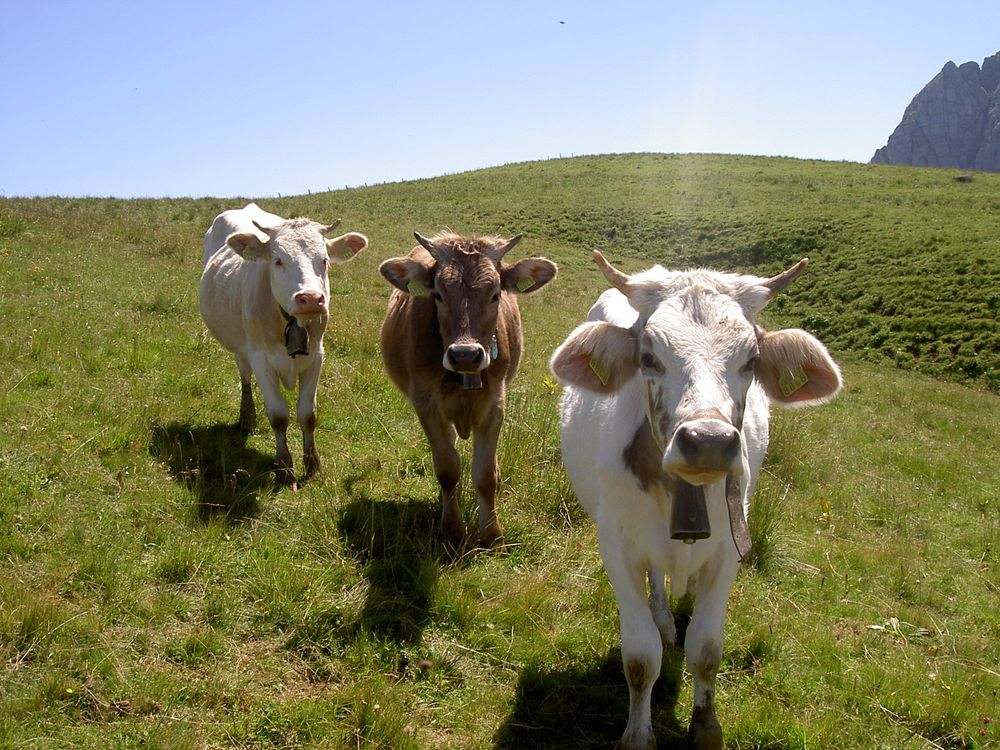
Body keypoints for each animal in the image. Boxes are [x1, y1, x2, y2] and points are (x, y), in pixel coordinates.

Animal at [199, 203, 368, 484]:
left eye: (324, 261)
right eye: (278, 261)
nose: (311, 298)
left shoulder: (317, 357)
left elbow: (307, 414)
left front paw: (312, 464)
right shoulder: (261, 359)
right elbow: (278, 415)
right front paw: (284, 467)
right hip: (240, 345)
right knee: (244, 375)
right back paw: (247, 416)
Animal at [378, 229, 560, 548]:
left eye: (495, 294)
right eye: (438, 295)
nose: (465, 354)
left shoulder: (495, 404)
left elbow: (486, 475)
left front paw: (491, 533)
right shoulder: (426, 405)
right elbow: (447, 470)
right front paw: (452, 529)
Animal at [552, 254, 840, 750]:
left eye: (751, 360)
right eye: (649, 357)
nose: (708, 441)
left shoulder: (730, 547)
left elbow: (706, 650)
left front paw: (706, 728)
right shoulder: (617, 545)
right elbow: (641, 656)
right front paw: (638, 734)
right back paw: (665, 620)